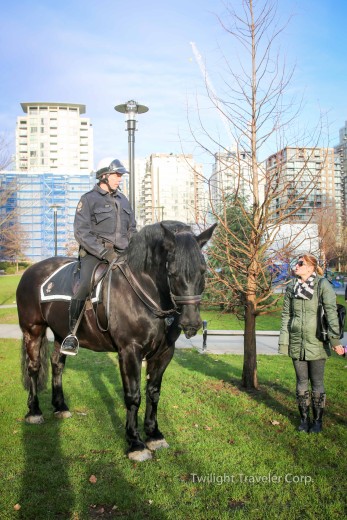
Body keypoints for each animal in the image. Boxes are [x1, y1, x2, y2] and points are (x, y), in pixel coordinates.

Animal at [18, 219, 218, 460]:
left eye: (203, 271)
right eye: (172, 272)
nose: (191, 323)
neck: (143, 291)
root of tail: (31, 270)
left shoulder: (164, 353)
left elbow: (153, 392)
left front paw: (154, 434)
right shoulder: (129, 351)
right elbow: (133, 395)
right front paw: (135, 442)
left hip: (60, 333)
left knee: (57, 364)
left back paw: (60, 407)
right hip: (33, 330)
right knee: (34, 368)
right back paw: (34, 411)